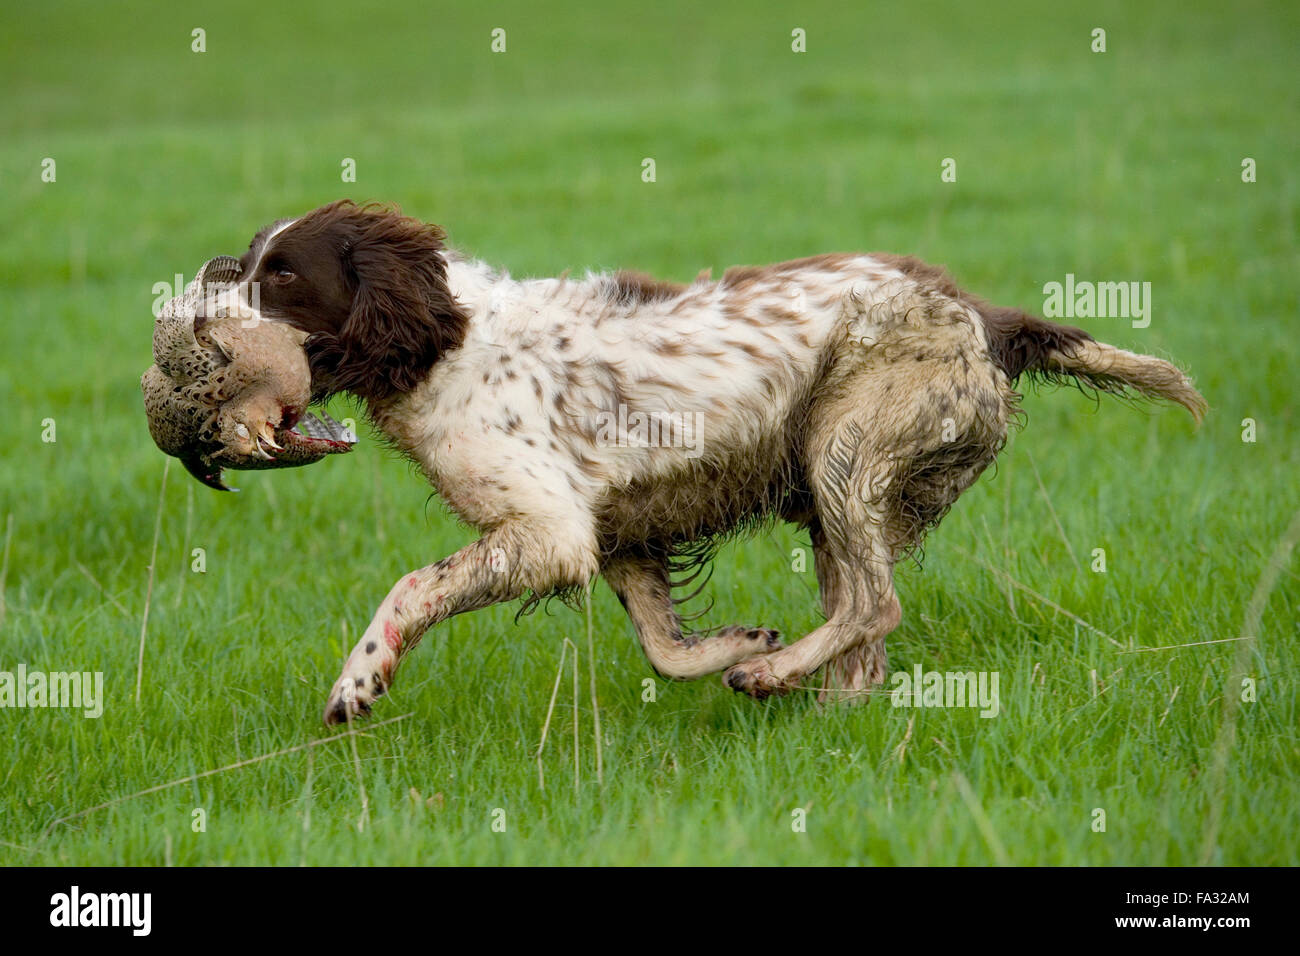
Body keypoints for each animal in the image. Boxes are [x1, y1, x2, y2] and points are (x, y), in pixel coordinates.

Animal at [218, 201, 1201, 723]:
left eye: (284, 274)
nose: (200, 301)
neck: (446, 342)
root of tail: (983, 314)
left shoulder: (548, 531)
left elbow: (412, 587)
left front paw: (358, 680)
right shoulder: (620, 536)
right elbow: (665, 649)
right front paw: (741, 640)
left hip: (841, 444)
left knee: (875, 605)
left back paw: (776, 680)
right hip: (832, 485)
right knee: (864, 632)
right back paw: (813, 694)